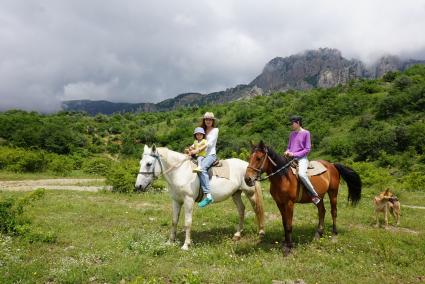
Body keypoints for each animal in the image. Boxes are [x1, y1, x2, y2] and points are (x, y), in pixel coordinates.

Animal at [136, 145, 264, 250]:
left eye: (149, 164)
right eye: (141, 162)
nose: (138, 186)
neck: (180, 172)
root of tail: (247, 166)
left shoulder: (188, 200)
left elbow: (187, 222)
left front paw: (186, 245)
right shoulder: (176, 201)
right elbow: (174, 221)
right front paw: (170, 242)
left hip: (250, 193)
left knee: (257, 210)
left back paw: (261, 233)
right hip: (236, 194)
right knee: (241, 209)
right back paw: (237, 235)